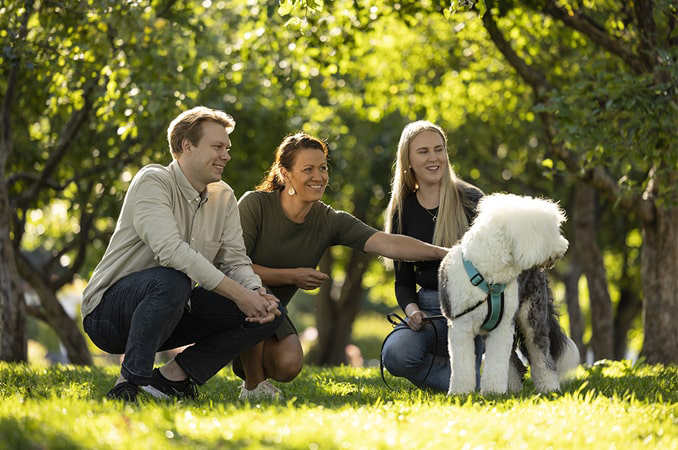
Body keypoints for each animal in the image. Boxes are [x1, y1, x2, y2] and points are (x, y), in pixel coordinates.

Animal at [440, 193, 580, 394]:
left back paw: (549, 388)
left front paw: (492, 391)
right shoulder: (460, 326)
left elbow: (498, 361)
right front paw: (460, 392)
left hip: (532, 316)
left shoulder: (502, 326)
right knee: (516, 362)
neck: (487, 275)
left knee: (540, 356)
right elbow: (463, 364)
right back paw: (513, 388)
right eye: (551, 231)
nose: (564, 247)